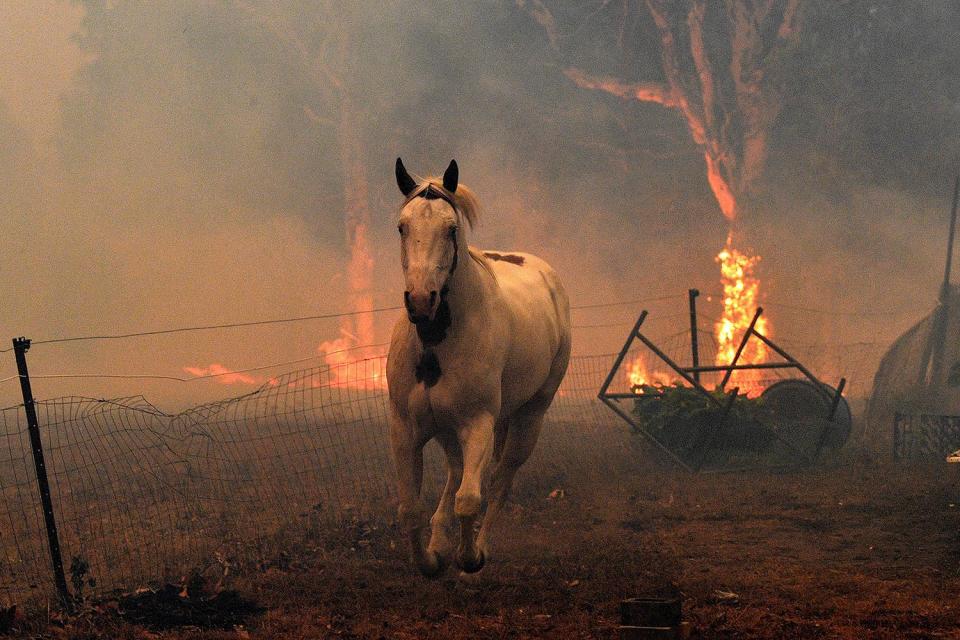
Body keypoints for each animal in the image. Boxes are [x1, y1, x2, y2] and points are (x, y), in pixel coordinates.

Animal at [388, 159, 572, 576]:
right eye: (403, 226)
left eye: (451, 228)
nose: (421, 300)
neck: (436, 344)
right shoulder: (406, 428)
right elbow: (410, 509)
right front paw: (430, 560)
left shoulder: (478, 424)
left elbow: (470, 499)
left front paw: (468, 557)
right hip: (449, 429)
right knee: (457, 472)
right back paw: (441, 540)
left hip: (528, 417)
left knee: (500, 480)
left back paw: (479, 546)